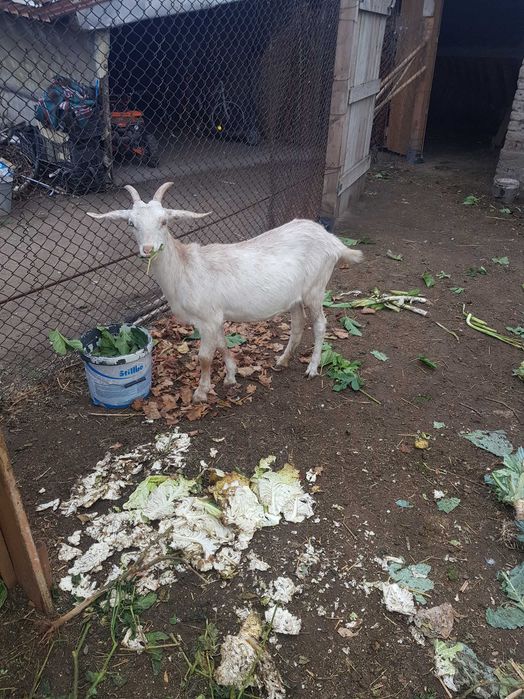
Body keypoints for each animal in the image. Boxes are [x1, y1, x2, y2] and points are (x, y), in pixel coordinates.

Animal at [87, 182, 363, 403]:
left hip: (315, 288)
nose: (147, 249)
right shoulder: (213, 318)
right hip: (294, 296)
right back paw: (282, 361)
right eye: (131, 224)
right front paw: (231, 375)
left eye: (164, 221)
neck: (185, 269)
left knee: (320, 324)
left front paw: (201, 392)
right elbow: (221, 344)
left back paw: (313, 368)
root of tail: (333, 241)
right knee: (297, 324)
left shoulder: (208, 318)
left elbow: (204, 357)